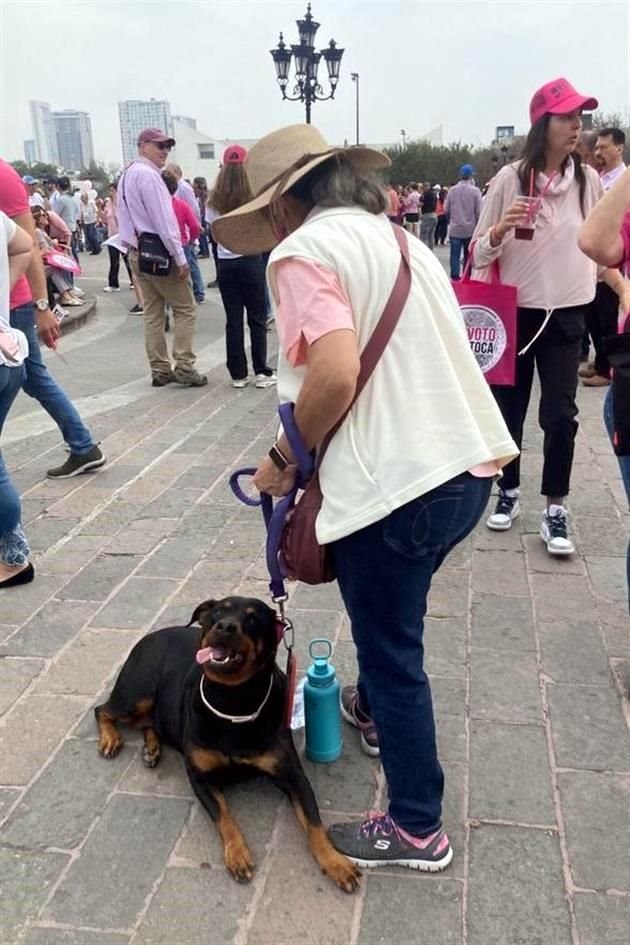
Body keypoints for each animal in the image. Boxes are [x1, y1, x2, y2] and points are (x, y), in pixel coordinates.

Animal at [94, 596, 360, 892]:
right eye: (218, 611)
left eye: (253, 618)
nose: (224, 626)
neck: (233, 699)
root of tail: (150, 636)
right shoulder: (200, 777)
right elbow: (224, 817)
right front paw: (238, 855)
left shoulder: (292, 775)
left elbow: (314, 822)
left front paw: (335, 862)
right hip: (137, 694)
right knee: (103, 710)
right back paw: (111, 739)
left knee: (147, 721)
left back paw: (151, 748)